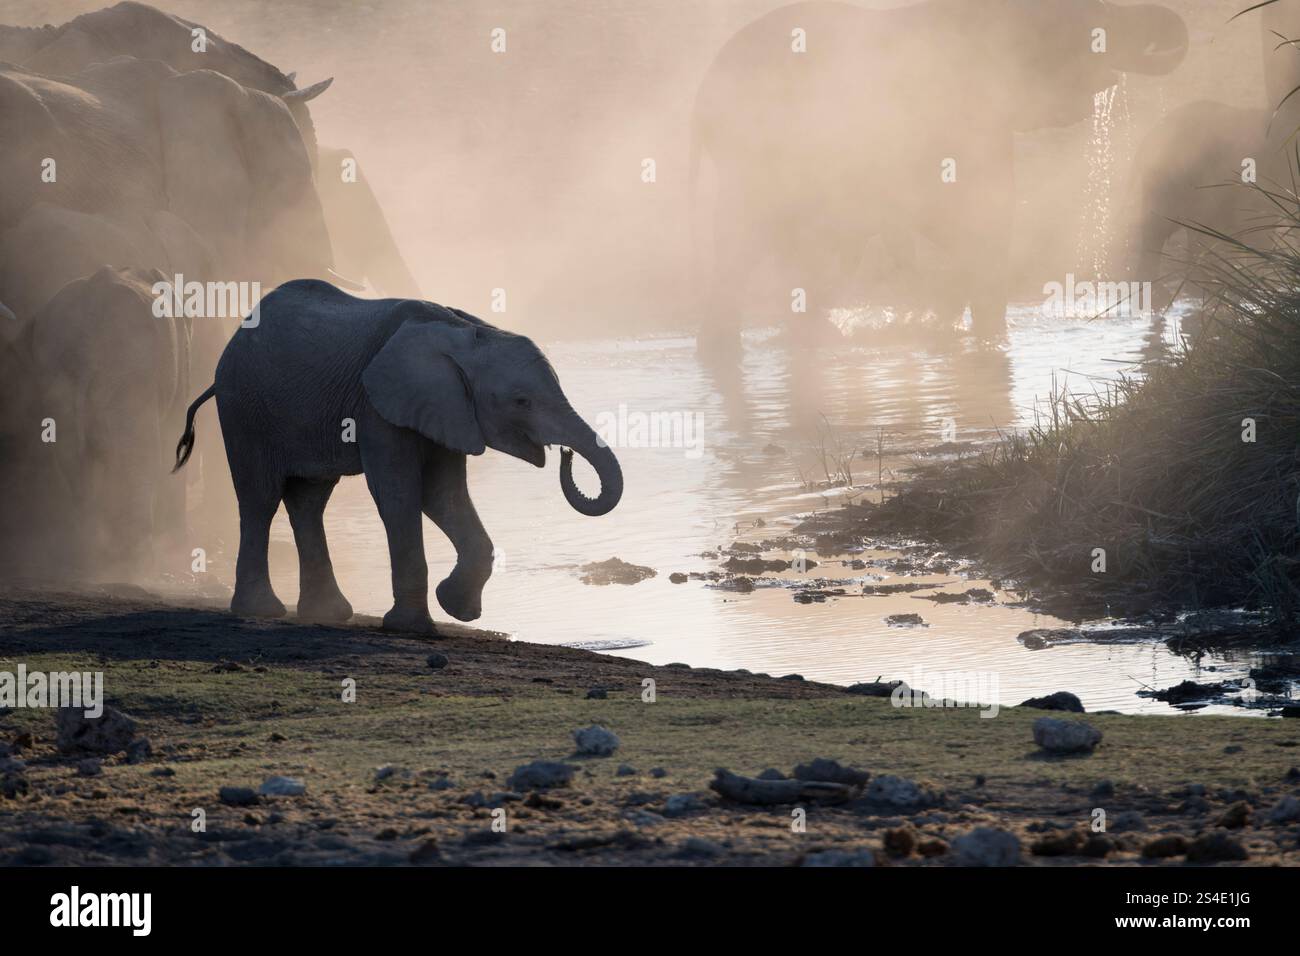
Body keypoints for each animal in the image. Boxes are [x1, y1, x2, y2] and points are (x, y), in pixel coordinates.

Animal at [173, 280, 623, 633]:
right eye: (522, 401)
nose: (565, 454)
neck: (466, 332)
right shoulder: (378, 406)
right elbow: (399, 493)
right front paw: (412, 627)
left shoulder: (447, 409)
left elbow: (443, 495)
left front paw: (457, 607)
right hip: (245, 408)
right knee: (260, 498)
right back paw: (263, 611)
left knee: (308, 501)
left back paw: (329, 614)